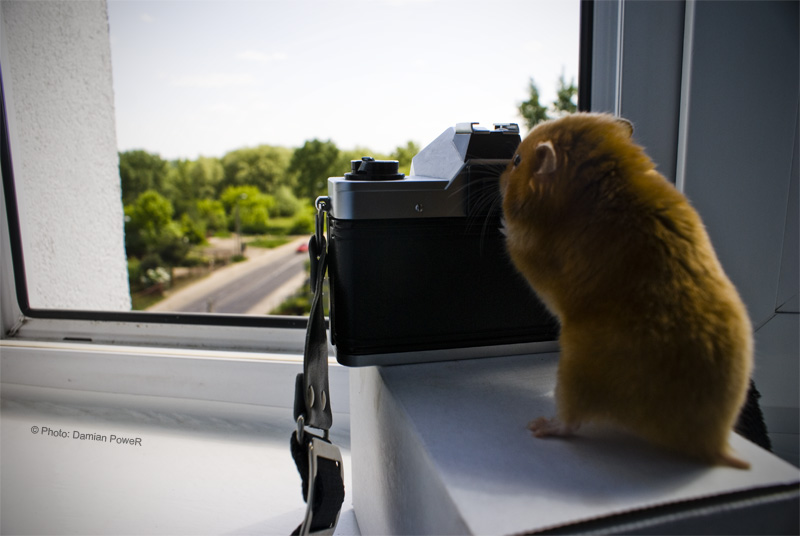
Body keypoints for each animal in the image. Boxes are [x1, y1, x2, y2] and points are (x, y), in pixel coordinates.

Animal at [504, 113, 752, 468]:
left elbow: (515, 245)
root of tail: (711, 443)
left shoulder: (536, 261)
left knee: (571, 421)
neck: (603, 177)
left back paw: (540, 426)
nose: (500, 172)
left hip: (575, 372)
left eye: (516, 161)